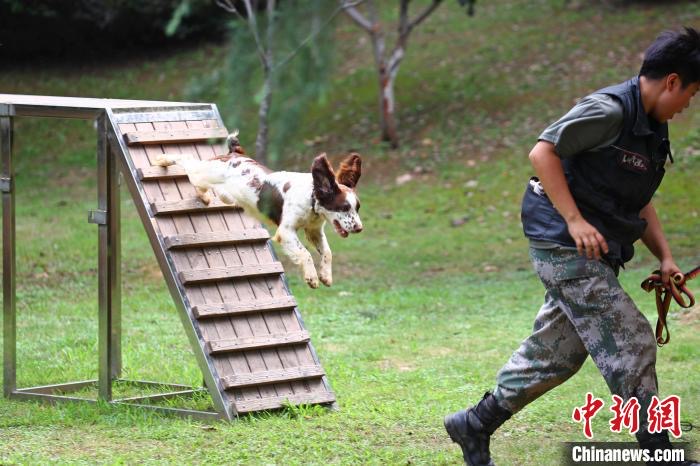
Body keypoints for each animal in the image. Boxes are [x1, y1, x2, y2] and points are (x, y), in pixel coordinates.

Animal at [156, 134, 364, 288]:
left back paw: (204, 197)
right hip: (204, 172)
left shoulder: (313, 230)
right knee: (186, 160)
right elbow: (304, 253)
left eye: (357, 207)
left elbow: (327, 252)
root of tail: (233, 154)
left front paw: (326, 276)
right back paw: (162, 160)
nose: (359, 228)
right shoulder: (286, 231)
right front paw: (312, 278)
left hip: (226, 195)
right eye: (344, 207)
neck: (311, 200)